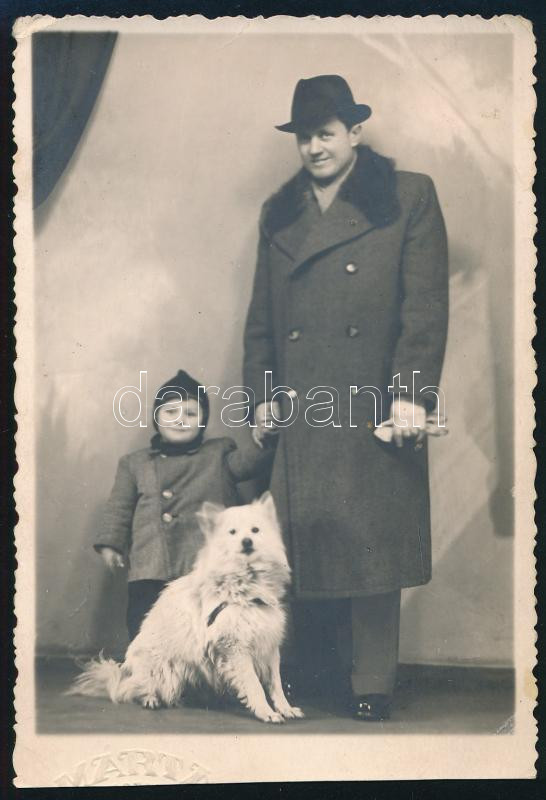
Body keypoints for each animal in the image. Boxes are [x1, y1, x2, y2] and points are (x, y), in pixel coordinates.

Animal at [67, 491, 304, 723]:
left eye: (255, 530)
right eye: (232, 532)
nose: (247, 541)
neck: (246, 585)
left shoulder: (269, 645)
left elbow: (276, 683)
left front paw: (285, 708)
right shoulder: (234, 648)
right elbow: (255, 685)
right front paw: (266, 712)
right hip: (161, 672)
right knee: (133, 690)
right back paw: (150, 699)